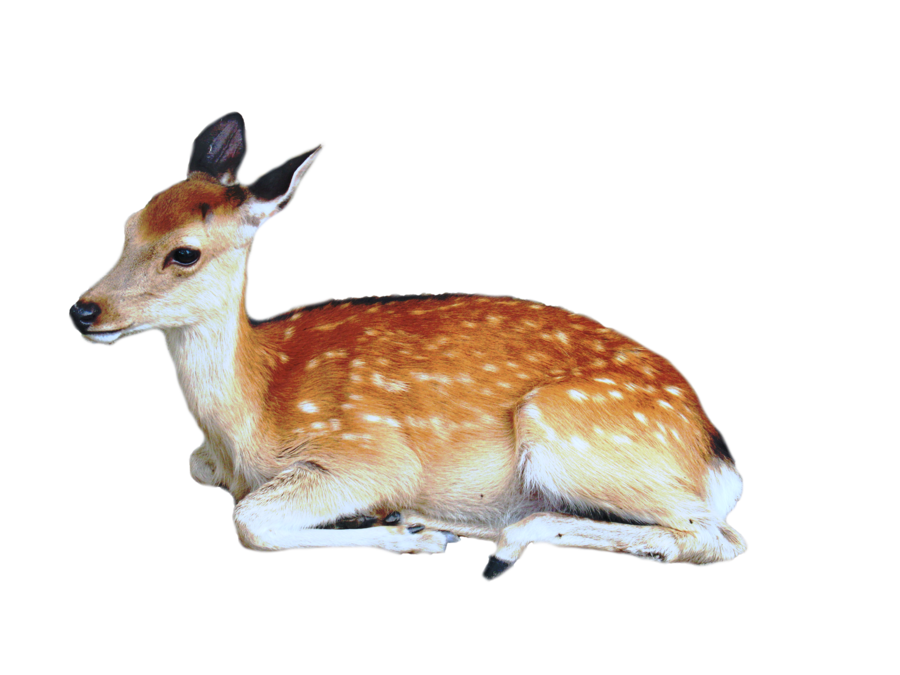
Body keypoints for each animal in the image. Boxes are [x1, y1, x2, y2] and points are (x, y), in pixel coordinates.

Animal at [68, 112, 749, 581]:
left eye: (185, 252)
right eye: (127, 226)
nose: (83, 310)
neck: (245, 420)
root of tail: (717, 455)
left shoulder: (366, 454)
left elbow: (248, 521)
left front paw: (407, 537)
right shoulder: (210, 461)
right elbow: (202, 474)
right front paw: (403, 528)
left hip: (569, 432)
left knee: (715, 538)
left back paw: (486, 542)